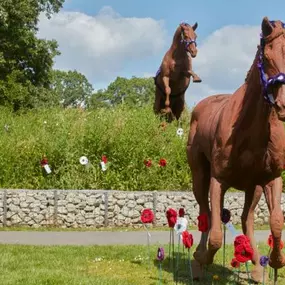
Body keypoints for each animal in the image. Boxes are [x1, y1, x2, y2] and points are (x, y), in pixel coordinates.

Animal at [186, 18, 284, 282]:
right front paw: (202, 258)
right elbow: (216, 234)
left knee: (246, 218)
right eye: (267, 56)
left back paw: (258, 268)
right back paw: (198, 263)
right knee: (205, 214)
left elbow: (276, 221)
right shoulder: (218, 179)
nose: (283, 104)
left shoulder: (270, 178)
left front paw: (275, 262)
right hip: (199, 175)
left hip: (253, 188)